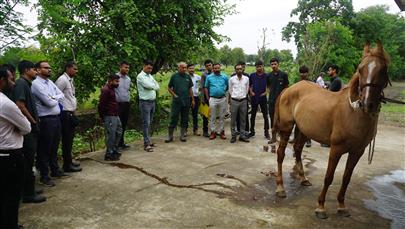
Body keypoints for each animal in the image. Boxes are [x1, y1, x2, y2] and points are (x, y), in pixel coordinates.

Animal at [272, 42, 388, 219]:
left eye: (383, 69)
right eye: (360, 69)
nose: (368, 104)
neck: (353, 112)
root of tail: (289, 89)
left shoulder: (357, 151)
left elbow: (346, 178)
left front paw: (341, 205)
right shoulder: (336, 149)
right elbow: (329, 177)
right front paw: (320, 207)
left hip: (304, 130)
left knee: (297, 149)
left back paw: (303, 178)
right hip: (286, 128)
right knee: (280, 154)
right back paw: (280, 188)